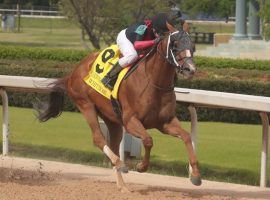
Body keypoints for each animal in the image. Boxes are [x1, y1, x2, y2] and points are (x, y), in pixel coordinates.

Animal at [37, 29, 200, 191]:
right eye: (175, 45)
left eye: (193, 46)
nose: (190, 69)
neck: (154, 82)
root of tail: (72, 73)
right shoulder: (130, 121)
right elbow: (148, 140)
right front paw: (141, 166)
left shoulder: (165, 122)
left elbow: (186, 136)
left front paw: (196, 176)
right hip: (86, 105)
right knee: (98, 138)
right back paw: (120, 163)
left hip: (112, 119)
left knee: (114, 144)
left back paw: (122, 184)